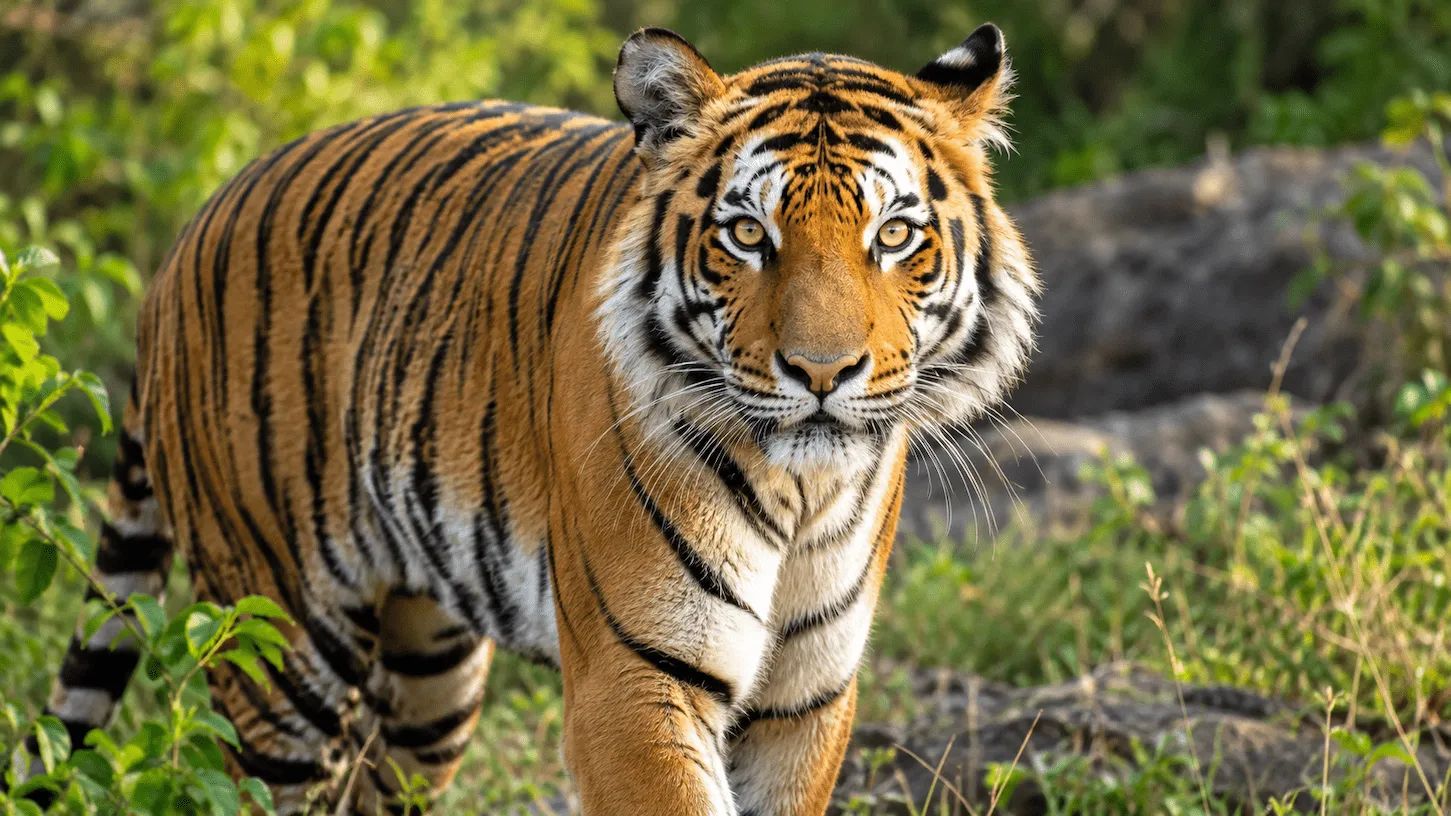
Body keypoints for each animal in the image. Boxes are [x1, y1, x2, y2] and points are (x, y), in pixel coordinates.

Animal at [25, 22, 1038, 815]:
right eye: (748, 234)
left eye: (894, 235)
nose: (822, 372)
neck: (800, 488)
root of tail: (183, 239)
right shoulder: (632, 683)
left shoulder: (806, 700)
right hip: (279, 638)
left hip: (429, 673)